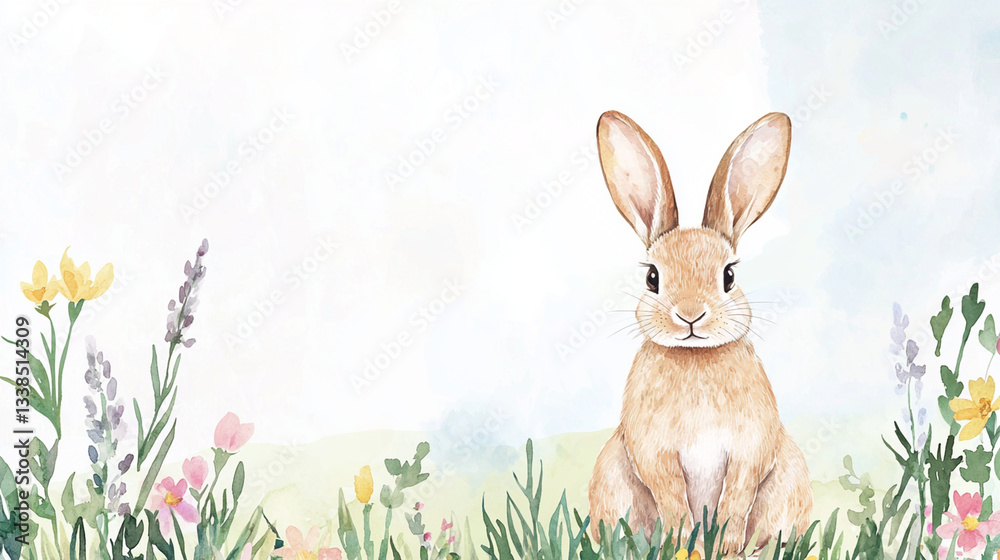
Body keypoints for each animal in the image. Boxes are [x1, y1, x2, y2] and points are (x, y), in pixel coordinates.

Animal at [587, 110, 812, 555]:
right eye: (653, 278)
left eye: (729, 276)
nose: (690, 315)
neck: (695, 359)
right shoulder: (654, 452)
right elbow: (671, 496)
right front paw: (682, 542)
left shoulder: (751, 448)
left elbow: (737, 494)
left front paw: (724, 543)